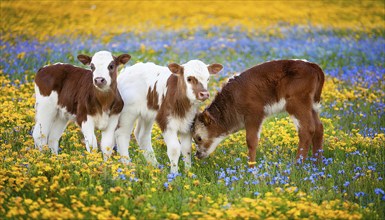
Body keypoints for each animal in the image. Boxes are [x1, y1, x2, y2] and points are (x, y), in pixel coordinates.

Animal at [192, 59, 324, 166]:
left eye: (198, 138)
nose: (197, 155)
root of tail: (311, 65)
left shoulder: (254, 114)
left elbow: (251, 141)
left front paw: (251, 168)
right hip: (312, 105)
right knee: (319, 128)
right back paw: (316, 164)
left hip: (297, 103)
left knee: (307, 130)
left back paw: (297, 166)